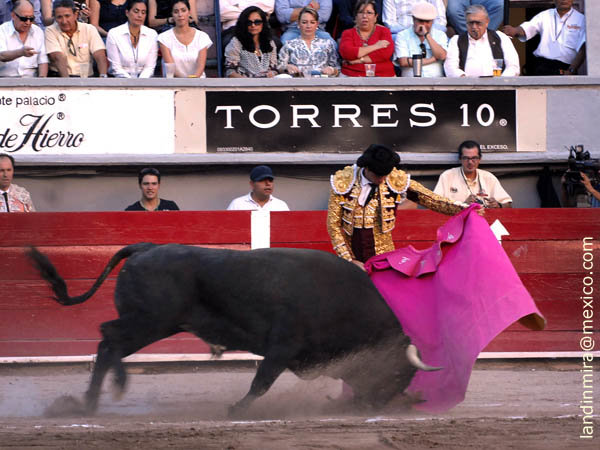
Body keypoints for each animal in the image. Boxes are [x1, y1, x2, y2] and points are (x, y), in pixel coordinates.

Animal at [27, 243, 436, 414]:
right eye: (397, 371)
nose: (377, 406)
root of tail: (147, 246)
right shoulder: (283, 346)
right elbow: (261, 382)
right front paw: (236, 409)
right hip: (148, 321)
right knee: (109, 339)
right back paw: (107, 392)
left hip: (154, 324)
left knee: (107, 343)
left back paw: (89, 403)